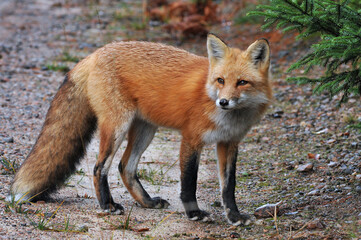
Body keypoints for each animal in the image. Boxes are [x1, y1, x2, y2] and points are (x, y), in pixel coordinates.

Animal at [8, 33, 270, 225]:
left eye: (242, 82)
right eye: (221, 80)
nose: (223, 102)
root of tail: (94, 54)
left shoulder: (229, 143)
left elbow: (228, 187)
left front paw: (234, 216)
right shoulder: (191, 139)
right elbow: (189, 182)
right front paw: (194, 214)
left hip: (146, 130)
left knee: (125, 167)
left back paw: (147, 202)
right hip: (118, 126)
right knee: (100, 167)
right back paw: (107, 205)